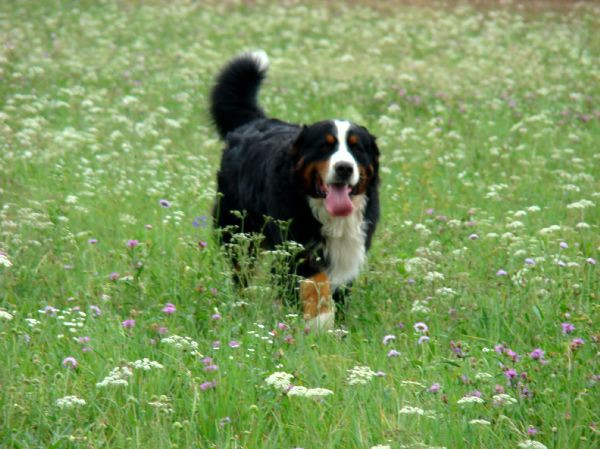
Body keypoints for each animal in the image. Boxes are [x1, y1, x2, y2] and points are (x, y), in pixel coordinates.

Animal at [210, 50, 380, 328]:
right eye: (325, 146)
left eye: (357, 148)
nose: (344, 168)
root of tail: (257, 121)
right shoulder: (296, 247)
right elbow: (316, 282)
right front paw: (320, 319)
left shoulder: (349, 248)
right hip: (238, 232)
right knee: (241, 273)